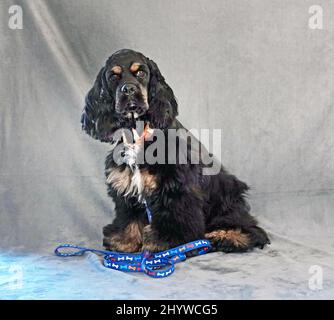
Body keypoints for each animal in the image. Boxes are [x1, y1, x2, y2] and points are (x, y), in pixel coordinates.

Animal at [81, 48, 272, 254]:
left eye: (141, 72)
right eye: (113, 76)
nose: (128, 89)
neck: (139, 133)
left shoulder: (176, 186)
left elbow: (174, 219)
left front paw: (167, 243)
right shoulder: (127, 185)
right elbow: (129, 217)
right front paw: (124, 241)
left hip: (227, 195)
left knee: (251, 229)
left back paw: (224, 237)